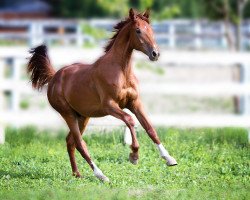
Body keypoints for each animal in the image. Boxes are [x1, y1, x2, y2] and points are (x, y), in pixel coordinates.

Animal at [27, 8, 177, 182]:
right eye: (138, 30)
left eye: (151, 30)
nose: (155, 54)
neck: (121, 71)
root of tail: (54, 77)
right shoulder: (110, 106)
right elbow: (130, 120)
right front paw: (134, 156)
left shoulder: (135, 103)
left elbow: (150, 128)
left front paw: (169, 159)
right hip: (68, 114)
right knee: (80, 143)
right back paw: (101, 175)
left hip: (83, 116)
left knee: (70, 142)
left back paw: (77, 174)